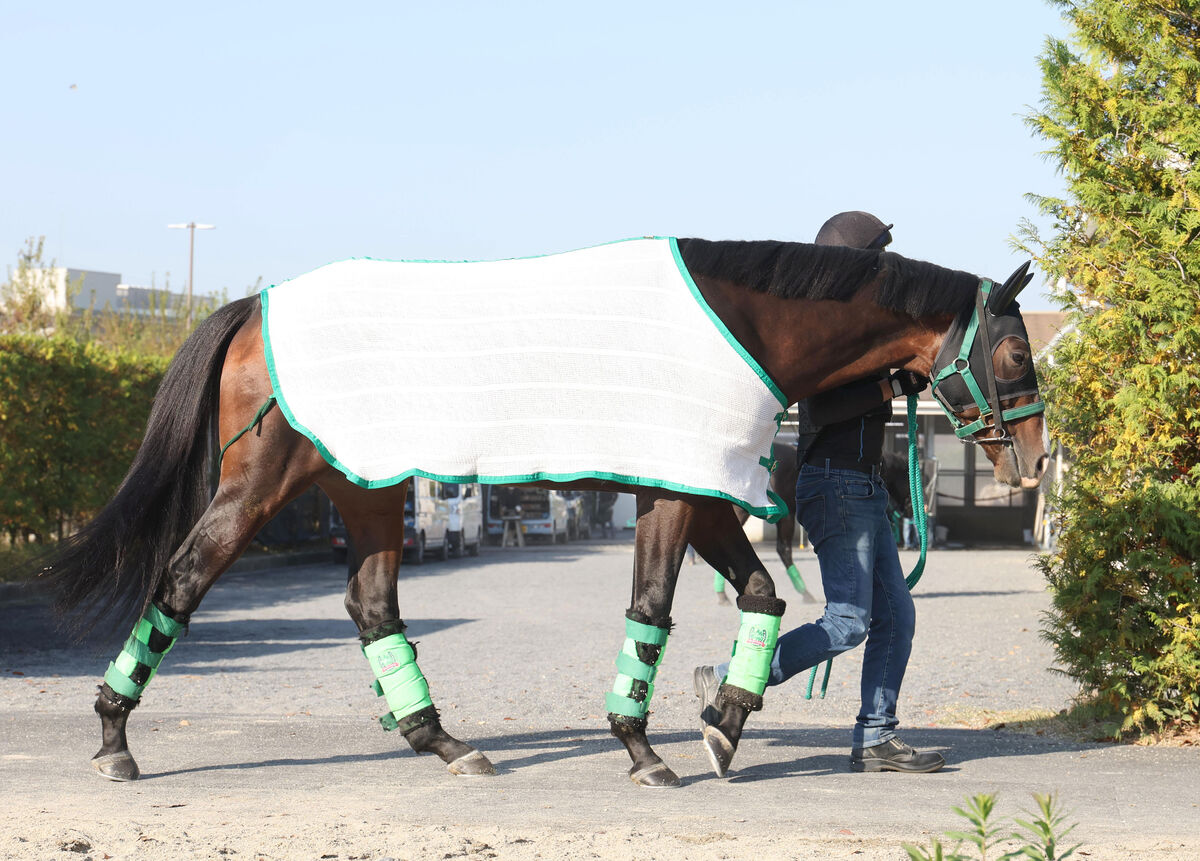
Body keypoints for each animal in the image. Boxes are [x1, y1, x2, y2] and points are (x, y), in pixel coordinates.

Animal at [39, 236, 1051, 791]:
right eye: (1011, 354)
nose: (1037, 462)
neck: (738, 321)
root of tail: (255, 307)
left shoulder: (693, 490)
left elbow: (762, 596)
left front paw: (723, 717)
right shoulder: (673, 492)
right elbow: (652, 609)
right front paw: (645, 748)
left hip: (367, 490)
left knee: (372, 605)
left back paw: (446, 742)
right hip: (260, 484)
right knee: (181, 580)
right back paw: (113, 738)